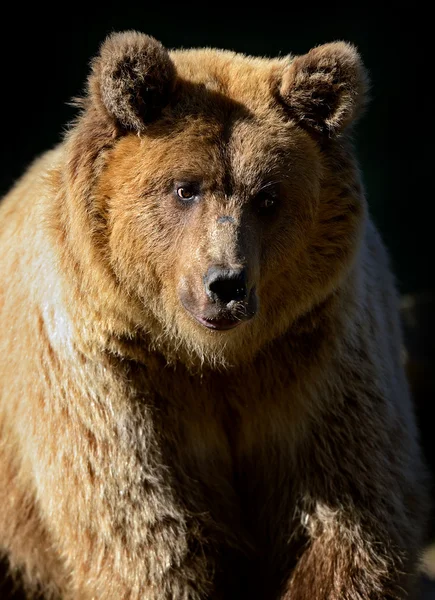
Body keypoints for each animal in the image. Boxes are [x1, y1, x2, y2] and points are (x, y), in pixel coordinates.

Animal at [0, 29, 430, 600]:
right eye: (185, 187)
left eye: (268, 196)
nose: (226, 284)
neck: (213, 360)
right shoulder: (106, 375)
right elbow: (147, 532)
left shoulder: (319, 366)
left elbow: (348, 527)